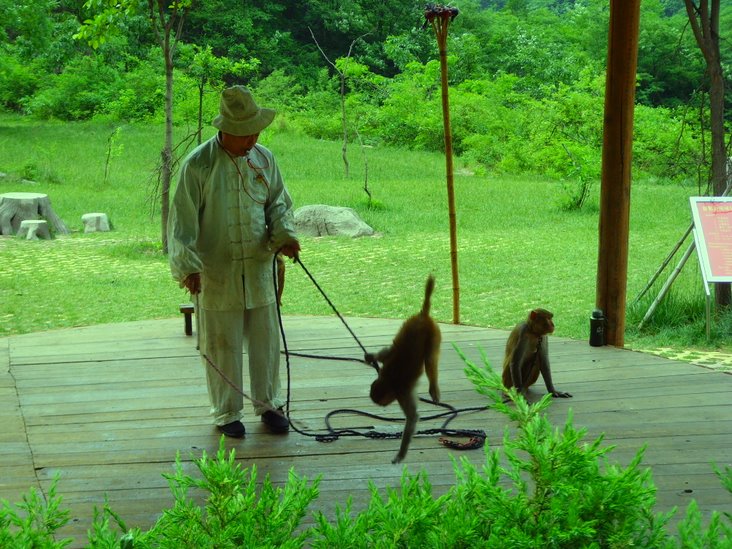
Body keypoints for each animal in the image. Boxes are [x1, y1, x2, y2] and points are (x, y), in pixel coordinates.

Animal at [366, 274, 440, 462]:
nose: (383, 405)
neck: (387, 379)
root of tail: (423, 316)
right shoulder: (386, 368)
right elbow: (386, 354)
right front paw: (370, 358)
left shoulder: (401, 391)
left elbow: (412, 417)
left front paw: (401, 453)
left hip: (434, 334)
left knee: (430, 360)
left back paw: (434, 388)